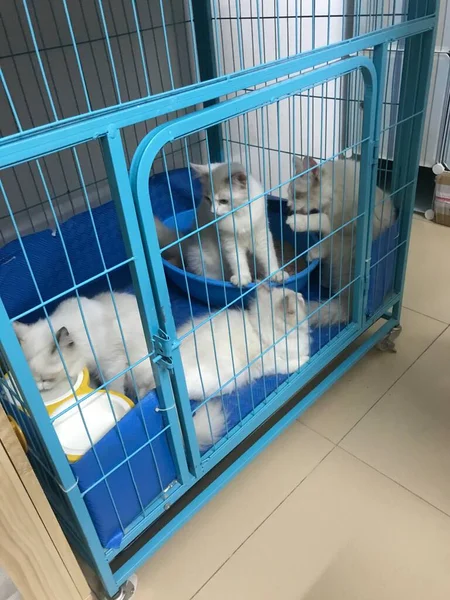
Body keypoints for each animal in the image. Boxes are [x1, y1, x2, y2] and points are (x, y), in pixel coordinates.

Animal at [286, 156, 396, 324]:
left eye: (296, 196)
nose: (287, 205)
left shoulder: (341, 226)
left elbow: (320, 219)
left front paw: (295, 221)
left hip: (348, 244)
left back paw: (313, 255)